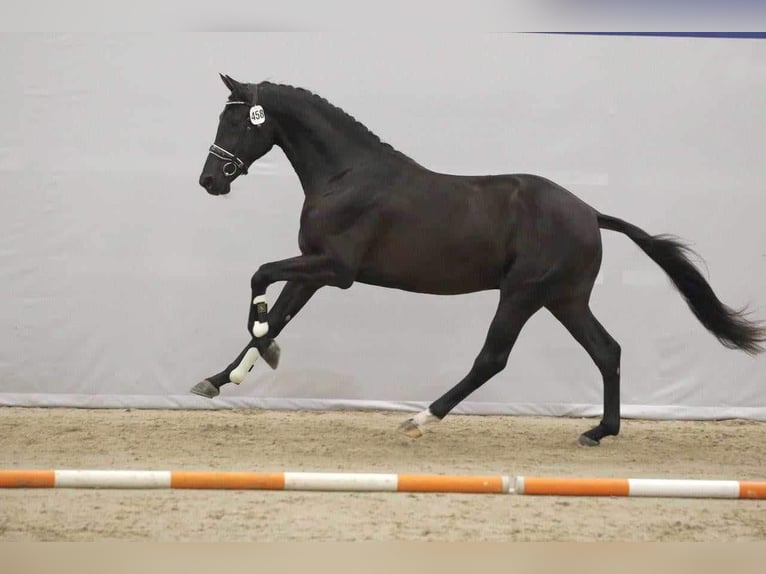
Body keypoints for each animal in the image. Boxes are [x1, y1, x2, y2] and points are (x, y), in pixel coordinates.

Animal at [192, 74, 765, 446]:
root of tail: (590, 214)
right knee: (607, 350)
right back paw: (600, 431)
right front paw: (221, 378)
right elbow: (277, 313)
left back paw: (422, 419)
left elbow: (260, 279)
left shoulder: (337, 270)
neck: (346, 175)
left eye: (237, 122)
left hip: (522, 294)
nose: (210, 180)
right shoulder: (315, 267)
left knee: (493, 358)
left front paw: (260, 352)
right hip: (564, 299)